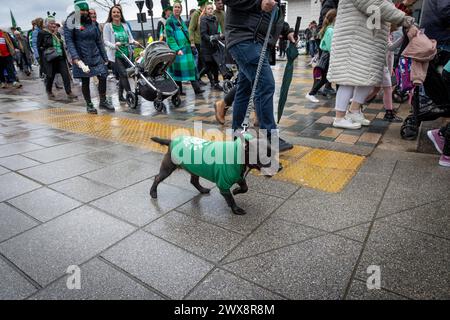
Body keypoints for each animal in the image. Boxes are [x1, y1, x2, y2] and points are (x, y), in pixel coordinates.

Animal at [149, 135, 280, 215]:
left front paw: (236, 190)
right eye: (264, 157)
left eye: (275, 153)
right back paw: (153, 192)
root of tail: (171, 141)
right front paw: (236, 209)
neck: (239, 154)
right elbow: (230, 198)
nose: (280, 168)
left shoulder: (239, 177)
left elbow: (245, 187)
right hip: (168, 168)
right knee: (157, 178)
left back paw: (202, 190)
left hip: (196, 169)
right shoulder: (223, 184)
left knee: (194, 181)